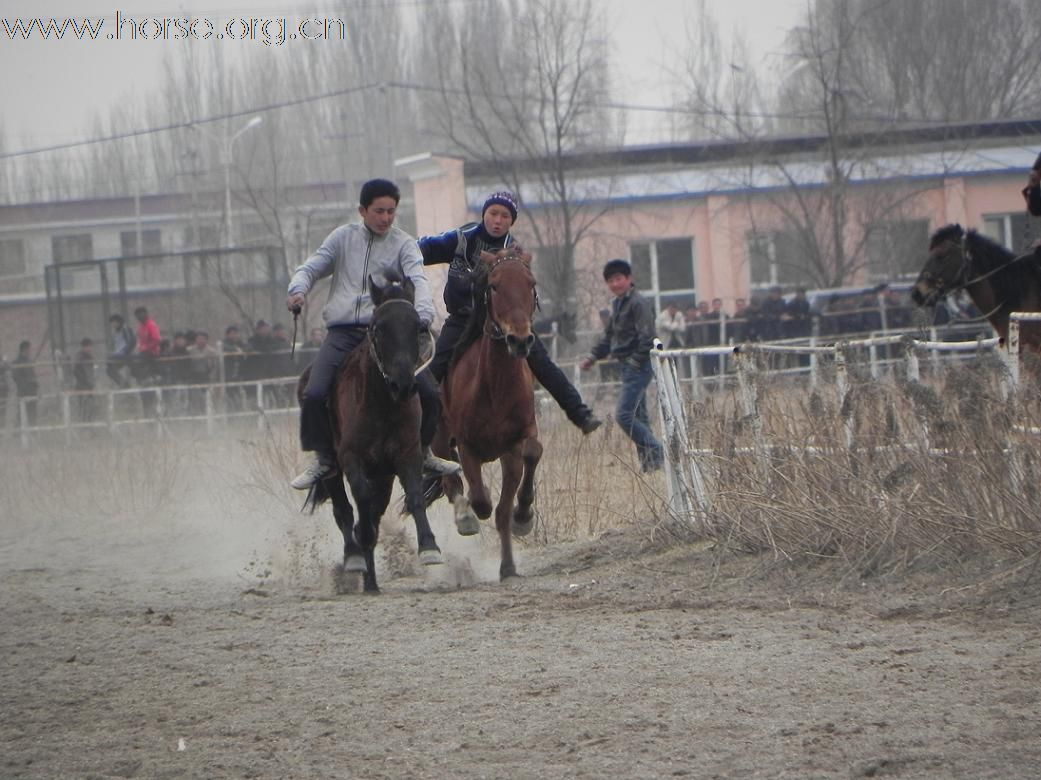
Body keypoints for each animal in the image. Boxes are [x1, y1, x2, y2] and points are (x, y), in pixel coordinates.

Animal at [303, 272, 443, 591]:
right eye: (378, 328)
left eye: (418, 327)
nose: (402, 385)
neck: (382, 403)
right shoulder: (351, 458)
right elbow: (361, 501)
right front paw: (360, 541)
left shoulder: (406, 455)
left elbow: (415, 496)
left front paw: (430, 548)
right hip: (334, 470)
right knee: (343, 510)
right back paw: (355, 557)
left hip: (384, 474)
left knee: (374, 513)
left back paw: (371, 582)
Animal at [430, 247, 545, 579]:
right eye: (493, 286)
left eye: (531, 283)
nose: (519, 340)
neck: (494, 388)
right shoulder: (467, 445)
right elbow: (481, 499)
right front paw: (471, 512)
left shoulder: (518, 441)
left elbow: (531, 454)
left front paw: (522, 517)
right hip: (440, 437)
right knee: (449, 474)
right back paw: (464, 515)